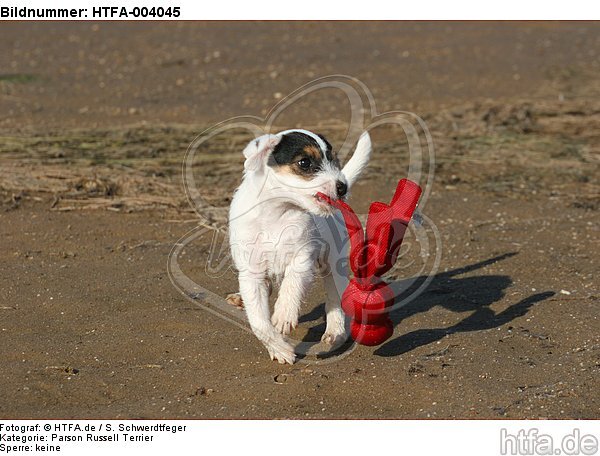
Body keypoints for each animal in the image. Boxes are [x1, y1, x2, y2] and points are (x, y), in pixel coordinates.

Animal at [229, 128, 370, 364]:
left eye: (332, 159)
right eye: (304, 162)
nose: (342, 187)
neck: (276, 214)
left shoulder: (303, 257)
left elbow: (292, 283)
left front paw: (284, 314)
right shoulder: (251, 273)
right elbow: (259, 323)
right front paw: (280, 349)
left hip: (334, 264)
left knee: (335, 298)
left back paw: (336, 332)